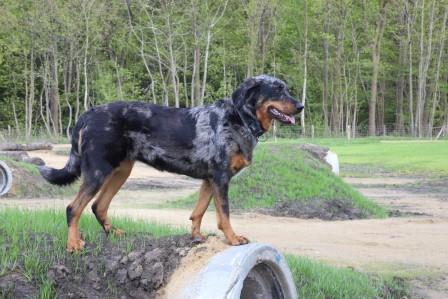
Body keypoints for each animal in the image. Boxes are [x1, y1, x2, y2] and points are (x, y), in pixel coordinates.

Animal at [39, 74, 304, 252]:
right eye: (278, 90)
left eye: (286, 89)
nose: (301, 106)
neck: (239, 118)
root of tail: (88, 113)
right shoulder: (220, 178)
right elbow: (224, 215)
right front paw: (233, 239)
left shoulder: (209, 180)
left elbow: (198, 212)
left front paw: (196, 237)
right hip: (98, 172)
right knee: (74, 208)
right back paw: (73, 244)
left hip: (121, 171)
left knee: (98, 206)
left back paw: (114, 233)